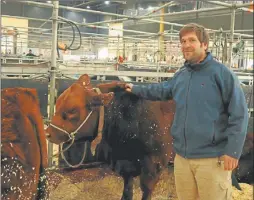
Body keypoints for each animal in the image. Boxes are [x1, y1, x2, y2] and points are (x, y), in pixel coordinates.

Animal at [46, 74, 176, 199]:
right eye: (57, 104)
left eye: (73, 110)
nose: (48, 133)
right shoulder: (126, 167)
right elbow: (127, 193)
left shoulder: (153, 168)